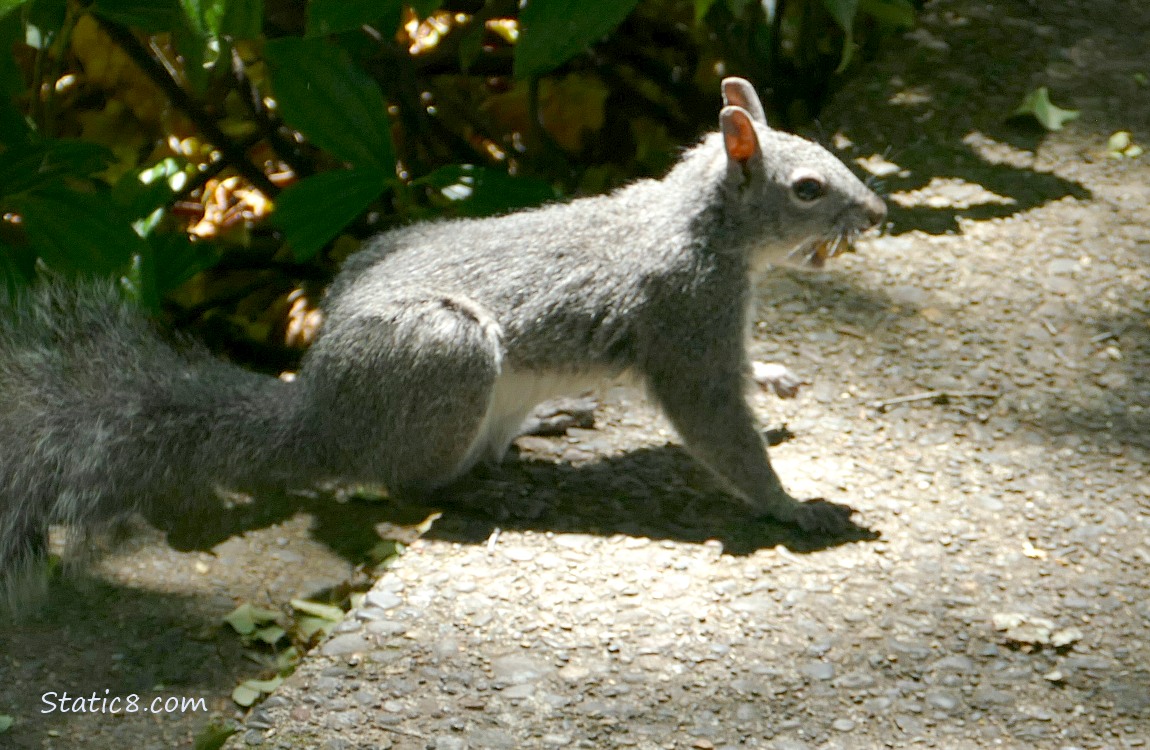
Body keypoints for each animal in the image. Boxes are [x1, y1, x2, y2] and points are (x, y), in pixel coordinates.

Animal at [0, 78, 885, 605]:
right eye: (808, 189)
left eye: (827, 156)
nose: (877, 212)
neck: (702, 226)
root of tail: (318, 412)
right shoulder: (685, 317)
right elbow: (714, 422)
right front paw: (791, 505)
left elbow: (741, 377)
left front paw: (775, 377)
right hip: (442, 352)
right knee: (400, 480)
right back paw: (477, 493)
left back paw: (541, 426)